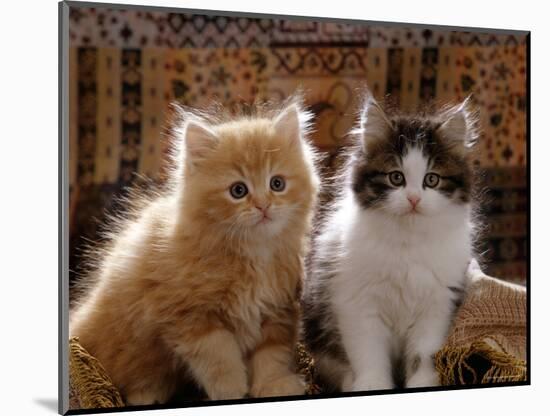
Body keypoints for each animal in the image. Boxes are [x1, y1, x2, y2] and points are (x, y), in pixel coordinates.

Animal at [70, 100, 320, 404]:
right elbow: (220, 359)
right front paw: (232, 392)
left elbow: (270, 355)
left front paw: (273, 385)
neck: (252, 253)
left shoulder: (276, 309)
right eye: (238, 190)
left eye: (277, 184)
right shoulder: (190, 315)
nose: (263, 206)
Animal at [304, 94, 480, 394]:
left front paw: (423, 384)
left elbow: (423, 356)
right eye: (396, 177)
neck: (407, 240)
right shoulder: (358, 304)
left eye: (431, 179)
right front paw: (370, 385)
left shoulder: (437, 306)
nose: (413, 199)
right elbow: (369, 355)